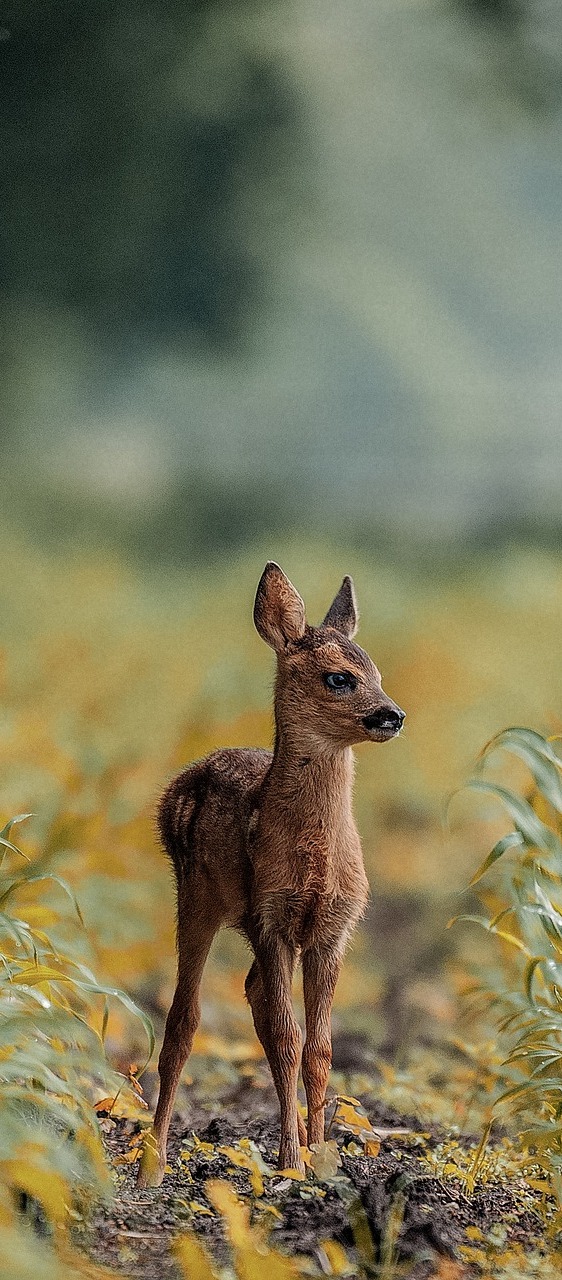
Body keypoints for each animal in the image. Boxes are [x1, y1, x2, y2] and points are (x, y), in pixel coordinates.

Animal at [139, 565, 404, 1182]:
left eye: (377, 672)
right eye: (339, 678)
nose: (393, 715)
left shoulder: (334, 929)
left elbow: (320, 1048)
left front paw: (322, 1157)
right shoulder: (271, 916)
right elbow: (287, 1037)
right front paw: (289, 1162)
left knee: (252, 994)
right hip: (196, 897)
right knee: (184, 1020)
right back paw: (153, 1163)